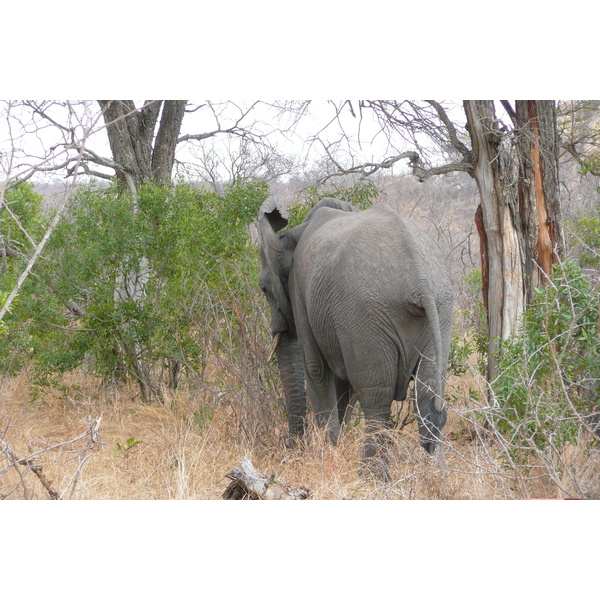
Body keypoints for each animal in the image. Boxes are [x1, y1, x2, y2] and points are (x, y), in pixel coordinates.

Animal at [255, 197, 452, 478]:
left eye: (263, 288)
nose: (292, 451)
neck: (294, 232)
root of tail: (420, 281)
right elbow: (342, 386)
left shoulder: (301, 292)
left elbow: (316, 369)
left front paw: (327, 458)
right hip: (441, 307)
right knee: (427, 392)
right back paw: (435, 476)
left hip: (365, 313)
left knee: (376, 395)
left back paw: (371, 477)